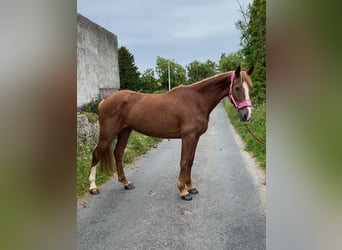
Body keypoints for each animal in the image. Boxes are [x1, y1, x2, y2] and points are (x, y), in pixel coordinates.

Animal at [89, 65, 254, 200]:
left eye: (250, 89)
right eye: (237, 88)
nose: (246, 115)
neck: (196, 100)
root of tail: (104, 100)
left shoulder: (195, 137)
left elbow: (191, 161)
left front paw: (191, 187)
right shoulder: (188, 137)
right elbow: (184, 161)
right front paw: (183, 190)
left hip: (125, 131)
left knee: (118, 153)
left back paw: (126, 183)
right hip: (108, 133)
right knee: (97, 153)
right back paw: (93, 188)